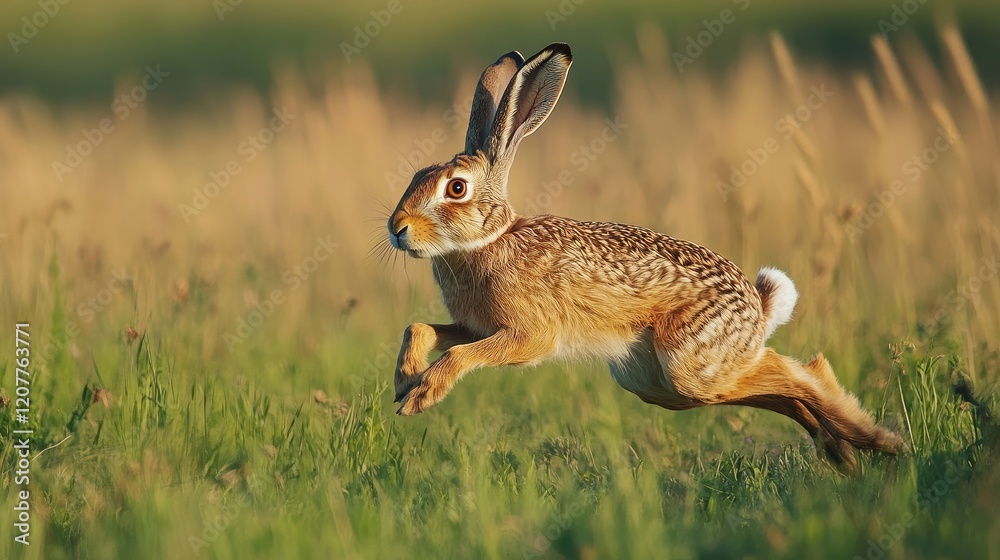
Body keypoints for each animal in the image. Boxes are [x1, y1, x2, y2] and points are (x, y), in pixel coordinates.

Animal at [387, 42, 904, 469]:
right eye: (416, 175)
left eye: (456, 189)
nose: (397, 229)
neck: (488, 239)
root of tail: (758, 306)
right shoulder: (475, 326)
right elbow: (422, 328)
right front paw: (405, 381)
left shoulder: (529, 335)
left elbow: (463, 355)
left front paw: (422, 394)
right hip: (659, 382)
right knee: (775, 384)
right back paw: (844, 452)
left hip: (688, 363)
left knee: (794, 372)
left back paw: (879, 442)